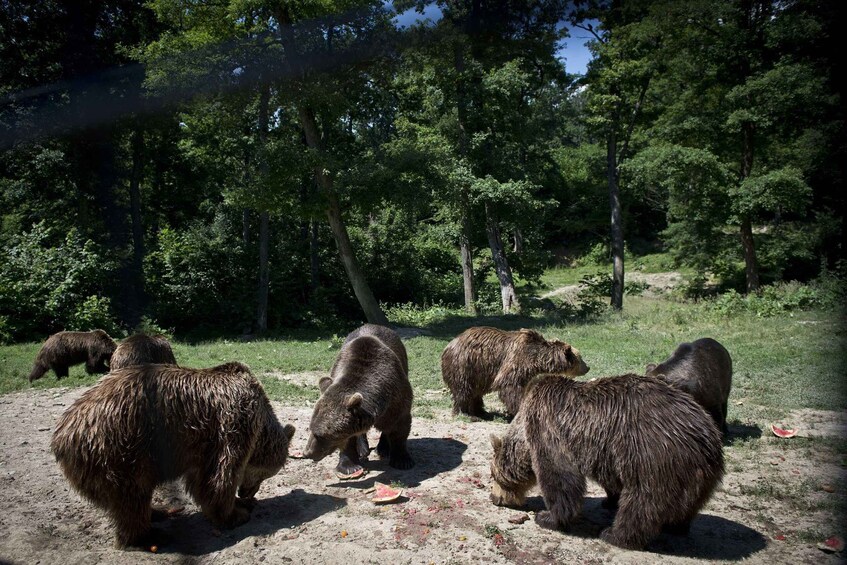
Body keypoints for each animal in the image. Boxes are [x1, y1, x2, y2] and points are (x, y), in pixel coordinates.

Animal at [51, 361, 295, 549]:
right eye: (266, 474)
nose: (247, 493)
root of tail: (62, 433)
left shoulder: (201, 443)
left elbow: (201, 479)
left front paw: (238, 504)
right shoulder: (234, 420)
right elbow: (221, 474)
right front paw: (235, 513)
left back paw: (158, 511)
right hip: (120, 449)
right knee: (132, 495)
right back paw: (149, 534)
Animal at [303, 324, 414, 476]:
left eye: (320, 435)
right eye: (311, 428)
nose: (307, 453)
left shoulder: (396, 399)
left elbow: (400, 427)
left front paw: (402, 460)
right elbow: (348, 439)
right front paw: (349, 465)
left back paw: (383, 449)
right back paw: (363, 449)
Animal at [441, 326, 589, 419]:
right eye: (580, 358)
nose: (587, 367)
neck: (536, 359)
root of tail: (448, 346)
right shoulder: (516, 360)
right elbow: (509, 386)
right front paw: (518, 409)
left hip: (478, 373)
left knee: (475, 392)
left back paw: (481, 411)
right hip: (465, 365)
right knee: (463, 389)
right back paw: (467, 414)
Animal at [489, 373, 724, 550]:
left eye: (492, 474)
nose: (494, 498)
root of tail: (708, 438)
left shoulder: (548, 426)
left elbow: (559, 475)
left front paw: (548, 517)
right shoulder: (605, 454)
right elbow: (609, 480)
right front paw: (609, 500)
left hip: (655, 457)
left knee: (642, 502)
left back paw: (615, 534)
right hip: (695, 475)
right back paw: (677, 526)